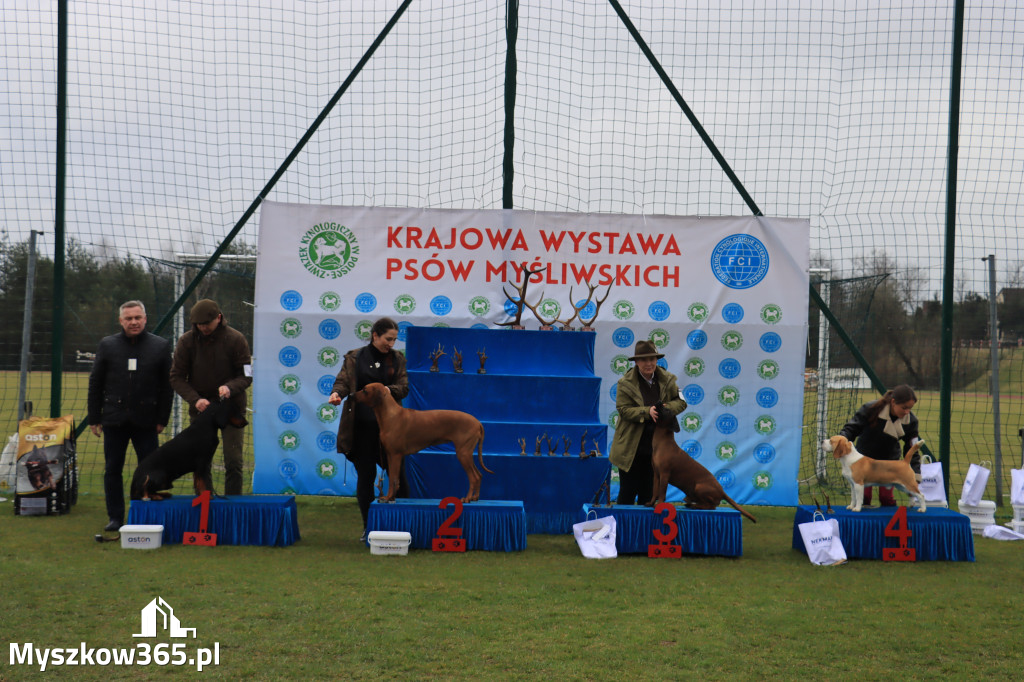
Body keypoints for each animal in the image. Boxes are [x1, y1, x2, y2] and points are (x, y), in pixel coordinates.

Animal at [354, 378, 493, 501]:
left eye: (365, 390)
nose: (352, 395)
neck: (390, 415)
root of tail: (477, 422)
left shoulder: (395, 455)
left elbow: (393, 479)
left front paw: (388, 498)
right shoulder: (389, 455)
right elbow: (395, 479)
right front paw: (390, 497)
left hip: (463, 453)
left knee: (473, 477)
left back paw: (467, 498)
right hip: (467, 454)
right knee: (479, 475)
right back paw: (475, 497)